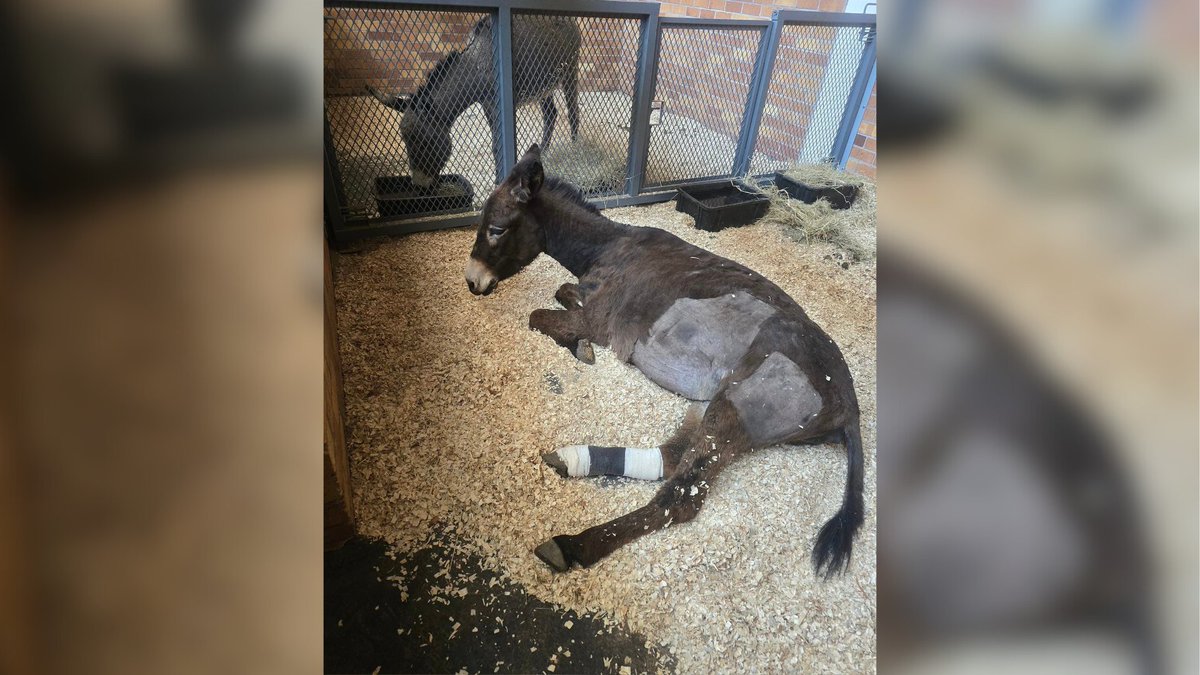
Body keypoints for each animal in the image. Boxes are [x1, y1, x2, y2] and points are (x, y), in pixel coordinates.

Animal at [367, 15, 581, 188]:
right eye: (404, 139)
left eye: (423, 141)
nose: (419, 184)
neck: (476, 64)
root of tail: (571, 21)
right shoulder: (487, 105)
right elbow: (496, 145)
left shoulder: (499, 103)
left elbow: (497, 144)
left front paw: (499, 180)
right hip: (544, 86)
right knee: (551, 113)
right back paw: (543, 153)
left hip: (569, 71)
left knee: (573, 112)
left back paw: (575, 150)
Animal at [464, 144, 866, 578]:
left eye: (497, 229)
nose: (471, 282)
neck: (614, 246)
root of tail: (848, 403)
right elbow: (563, 291)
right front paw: (579, 338)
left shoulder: (597, 319)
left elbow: (540, 316)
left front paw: (580, 346)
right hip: (710, 405)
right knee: (673, 459)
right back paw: (575, 459)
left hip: (735, 409)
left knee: (680, 498)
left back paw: (572, 544)